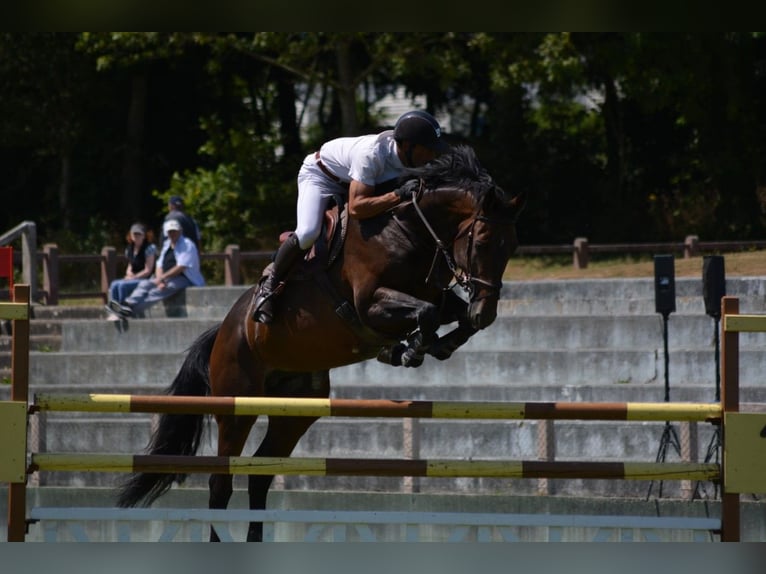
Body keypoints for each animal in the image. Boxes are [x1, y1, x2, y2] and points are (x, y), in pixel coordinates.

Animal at [115, 144, 528, 540]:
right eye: (483, 241)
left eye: (511, 247)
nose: (487, 310)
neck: (410, 231)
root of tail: (224, 331)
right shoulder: (369, 304)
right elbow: (424, 313)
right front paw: (407, 349)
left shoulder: (437, 297)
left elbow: (451, 315)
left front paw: (435, 344)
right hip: (236, 407)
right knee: (221, 484)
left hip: (296, 411)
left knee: (259, 475)